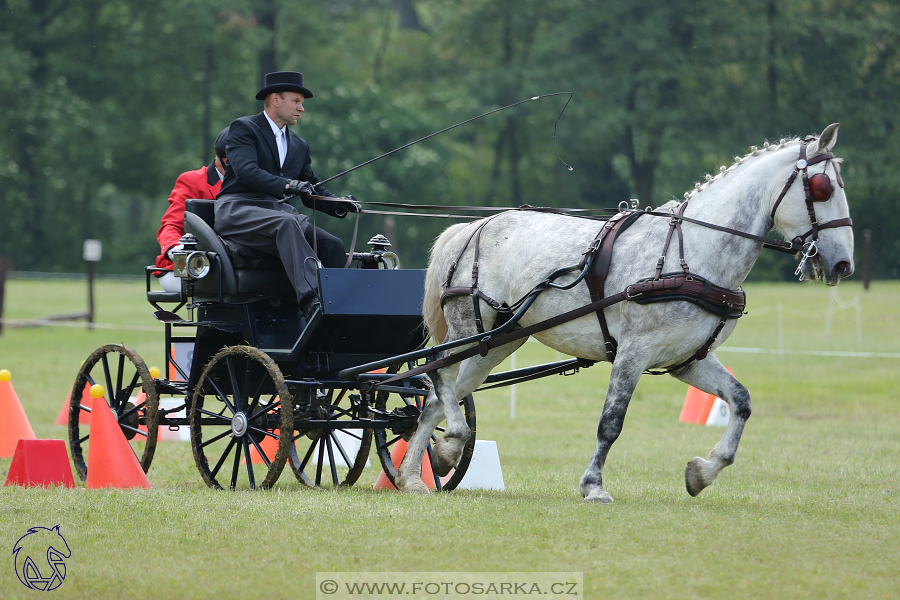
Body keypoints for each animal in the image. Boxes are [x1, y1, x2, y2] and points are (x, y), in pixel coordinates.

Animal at [398, 123, 856, 502]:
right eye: (822, 188)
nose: (842, 264)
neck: (693, 253)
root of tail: (472, 227)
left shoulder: (689, 360)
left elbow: (740, 402)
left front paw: (702, 473)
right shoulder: (634, 352)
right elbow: (611, 422)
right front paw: (593, 486)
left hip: (496, 342)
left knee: (436, 399)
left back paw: (416, 473)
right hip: (468, 326)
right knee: (438, 375)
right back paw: (450, 444)